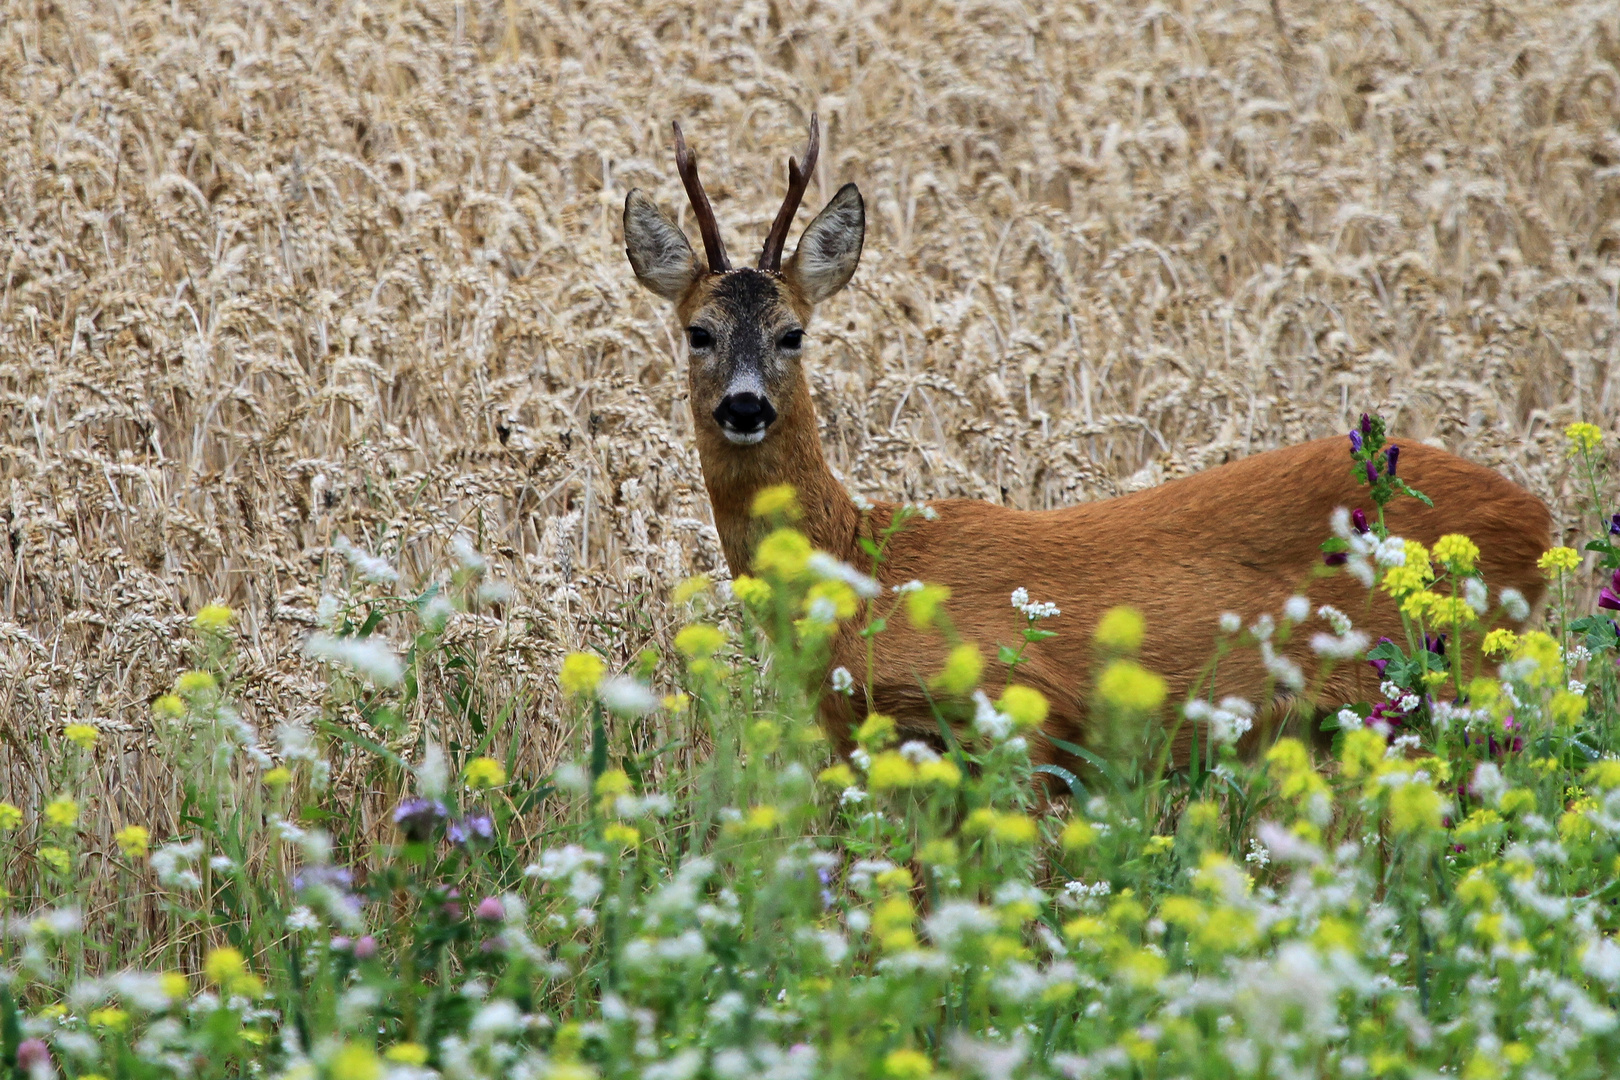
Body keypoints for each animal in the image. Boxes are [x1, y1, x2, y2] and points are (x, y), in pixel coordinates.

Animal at [615, 116, 1542, 761]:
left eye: (793, 334)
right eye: (698, 332)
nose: (744, 407)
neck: (863, 568)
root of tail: (1542, 517)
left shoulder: (1017, 715)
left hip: (1460, 681)